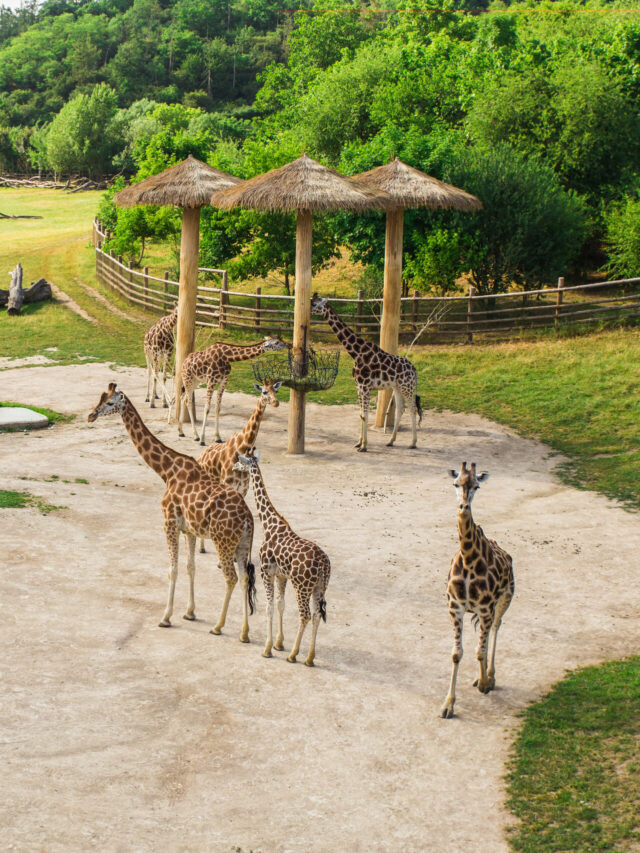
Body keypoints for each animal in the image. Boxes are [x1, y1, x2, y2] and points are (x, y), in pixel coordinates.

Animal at [87, 382, 256, 642]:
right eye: (100, 398)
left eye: (110, 402)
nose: (91, 416)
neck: (166, 470)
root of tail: (248, 519)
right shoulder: (190, 530)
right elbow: (190, 568)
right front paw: (190, 612)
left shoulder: (168, 522)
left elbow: (173, 569)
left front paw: (166, 617)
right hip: (242, 544)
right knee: (245, 579)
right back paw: (244, 633)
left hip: (223, 541)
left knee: (231, 578)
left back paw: (218, 626)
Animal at [196, 378, 282, 554]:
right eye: (264, 391)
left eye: (276, 391)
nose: (276, 402)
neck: (241, 447)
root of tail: (201, 456)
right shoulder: (227, 485)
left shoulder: (242, 489)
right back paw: (201, 547)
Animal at [233, 451, 331, 666]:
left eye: (241, 460)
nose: (234, 466)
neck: (269, 523)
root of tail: (324, 565)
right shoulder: (281, 575)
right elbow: (280, 604)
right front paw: (278, 643)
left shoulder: (266, 572)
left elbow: (269, 607)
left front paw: (267, 649)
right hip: (320, 587)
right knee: (316, 615)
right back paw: (310, 658)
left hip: (302, 586)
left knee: (305, 615)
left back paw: (293, 655)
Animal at [310, 294, 422, 452]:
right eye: (310, 301)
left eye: (314, 304)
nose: (307, 310)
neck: (356, 353)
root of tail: (414, 370)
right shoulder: (358, 385)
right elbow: (361, 414)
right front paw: (359, 443)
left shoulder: (365, 386)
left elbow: (365, 415)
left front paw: (363, 446)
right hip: (397, 387)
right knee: (400, 410)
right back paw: (391, 441)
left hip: (407, 387)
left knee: (413, 409)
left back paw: (413, 443)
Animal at [440, 462, 514, 719]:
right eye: (455, 484)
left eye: (476, 486)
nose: (464, 507)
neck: (469, 560)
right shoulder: (455, 607)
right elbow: (457, 653)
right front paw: (448, 705)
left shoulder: (484, 608)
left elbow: (479, 651)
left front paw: (484, 684)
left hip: (504, 600)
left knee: (495, 629)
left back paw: (489, 677)